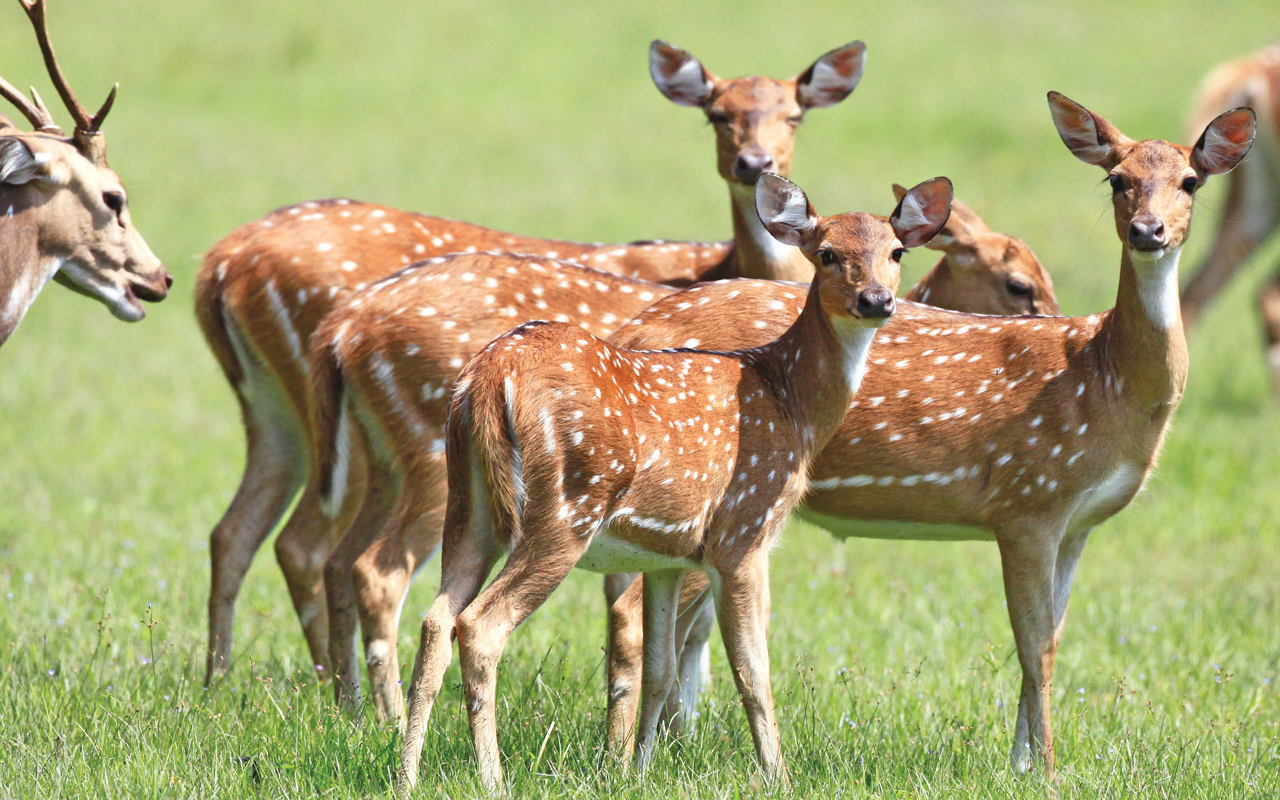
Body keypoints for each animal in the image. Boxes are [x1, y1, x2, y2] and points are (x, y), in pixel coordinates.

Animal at [192, 37, 870, 680]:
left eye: (794, 114)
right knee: (348, 559)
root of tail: (218, 266)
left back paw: (247, 684)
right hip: (418, 449)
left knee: (249, 534)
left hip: (288, 418)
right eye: (716, 113)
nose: (754, 163)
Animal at [394, 176, 957, 793]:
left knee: (435, 620)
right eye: (828, 253)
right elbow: (752, 672)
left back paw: (406, 776)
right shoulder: (743, 531)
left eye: (896, 252)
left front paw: (636, 773)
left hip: (469, 504)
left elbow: (660, 671)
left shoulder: (666, 555)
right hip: (568, 506)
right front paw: (778, 778)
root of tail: (491, 376)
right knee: (480, 625)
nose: (876, 301)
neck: (791, 402)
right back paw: (493, 780)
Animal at [601, 92, 1259, 773]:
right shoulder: (1028, 500)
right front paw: (1047, 770)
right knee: (632, 616)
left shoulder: (1078, 522)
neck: (1106, 378)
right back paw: (621, 760)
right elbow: (1036, 648)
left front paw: (1020, 765)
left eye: (1190, 180)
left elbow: (1049, 636)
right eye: (1117, 179)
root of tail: (631, 331)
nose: (1148, 231)